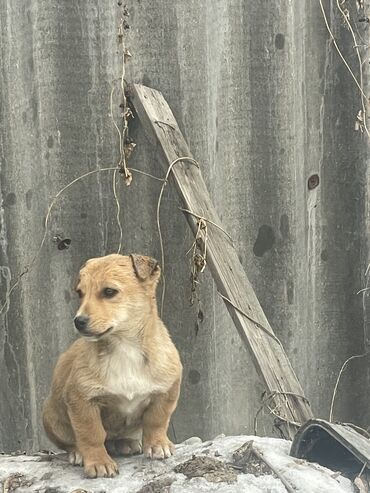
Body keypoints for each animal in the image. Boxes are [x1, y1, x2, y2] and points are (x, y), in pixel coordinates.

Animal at [43, 254, 182, 476]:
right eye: (80, 293)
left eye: (109, 292)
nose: (78, 321)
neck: (124, 347)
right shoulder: (82, 400)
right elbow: (91, 434)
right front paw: (98, 461)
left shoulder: (167, 391)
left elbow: (157, 420)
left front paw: (157, 444)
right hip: (51, 417)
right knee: (72, 442)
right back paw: (78, 453)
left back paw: (124, 443)